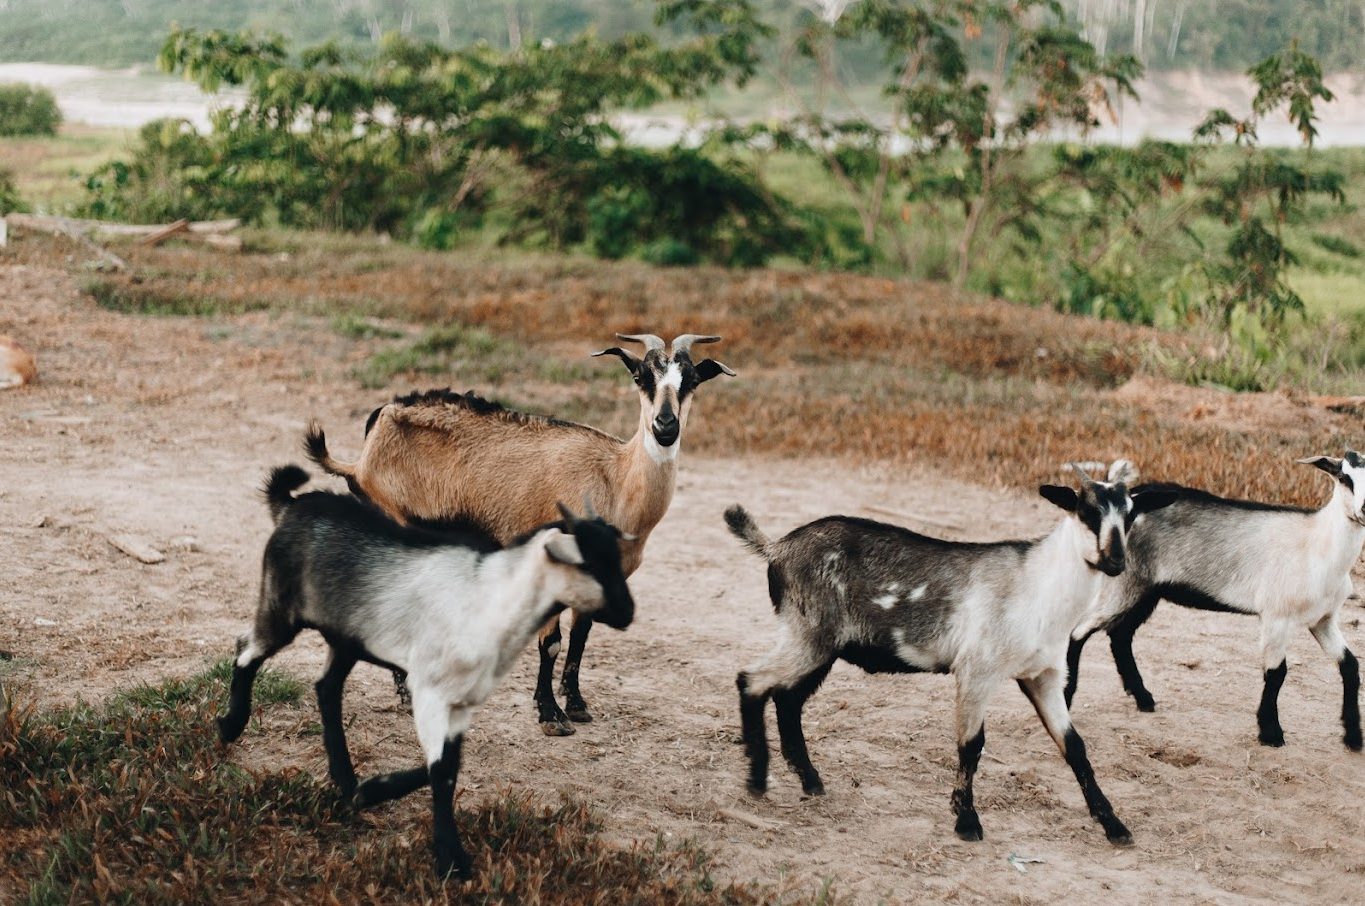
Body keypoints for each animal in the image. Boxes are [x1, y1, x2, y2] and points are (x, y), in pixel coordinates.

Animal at [217, 466, 633, 878]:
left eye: (616, 558)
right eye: (588, 563)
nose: (627, 612)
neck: (490, 597)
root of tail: (292, 507)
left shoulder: (462, 701)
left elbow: (448, 764)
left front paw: (373, 791)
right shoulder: (430, 690)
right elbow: (443, 771)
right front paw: (452, 860)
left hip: (348, 637)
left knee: (326, 688)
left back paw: (347, 780)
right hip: (280, 607)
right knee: (246, 650)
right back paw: (230, 725)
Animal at [726, 463, 1173, 845]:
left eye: (1131, 515)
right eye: (1086, 511)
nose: (1115, 561)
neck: (1037, 585)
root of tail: (777, 549)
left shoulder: (1043, 675)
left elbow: (1075, 747)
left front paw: (1114, 825)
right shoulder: (977, 670)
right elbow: (972, 745)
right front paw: (966, 820)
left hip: (822, 646)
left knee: (788, 699)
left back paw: (809, 781)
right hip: (808, 635)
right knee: (752, 681)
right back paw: (758, 780)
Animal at [1064, 450, 1365, 747]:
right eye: (1344, 478)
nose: (1363, 510)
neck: (1317, 545)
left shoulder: (1323, 620)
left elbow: (1350, 665)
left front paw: (1353, 736)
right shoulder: (1276, 617)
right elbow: (1277, 674)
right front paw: (1271, 733)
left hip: (1146, 591)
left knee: (1120, 636)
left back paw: (1143, 698)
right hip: (1125, 584)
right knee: (1079, 631)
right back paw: (1068, 696)